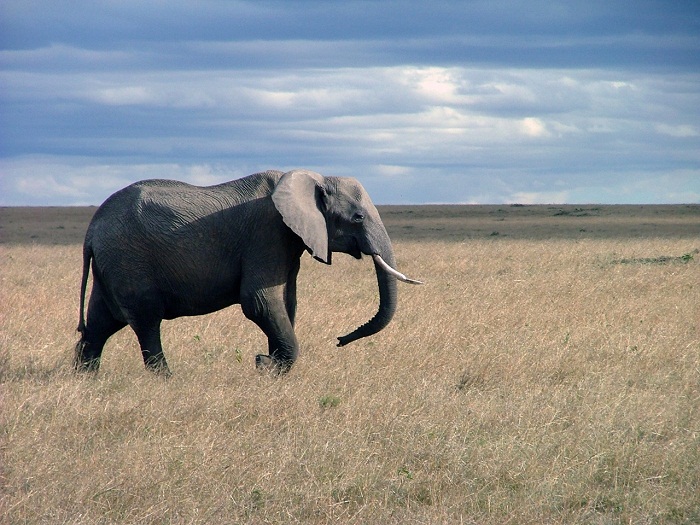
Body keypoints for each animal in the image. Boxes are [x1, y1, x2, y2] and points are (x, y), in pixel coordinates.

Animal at [75, 168, 422, 372]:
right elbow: (259, 302)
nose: (339, 340)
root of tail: (91, 231)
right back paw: (165, 381)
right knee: (146, 321)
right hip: (128, 260)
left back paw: (86, 381)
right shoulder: (267, 232)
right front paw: (266, 366)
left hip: (112, 266)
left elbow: (286, 302)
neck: (314, 179)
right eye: (358, 217)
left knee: (100, 324)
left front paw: (270, 366)